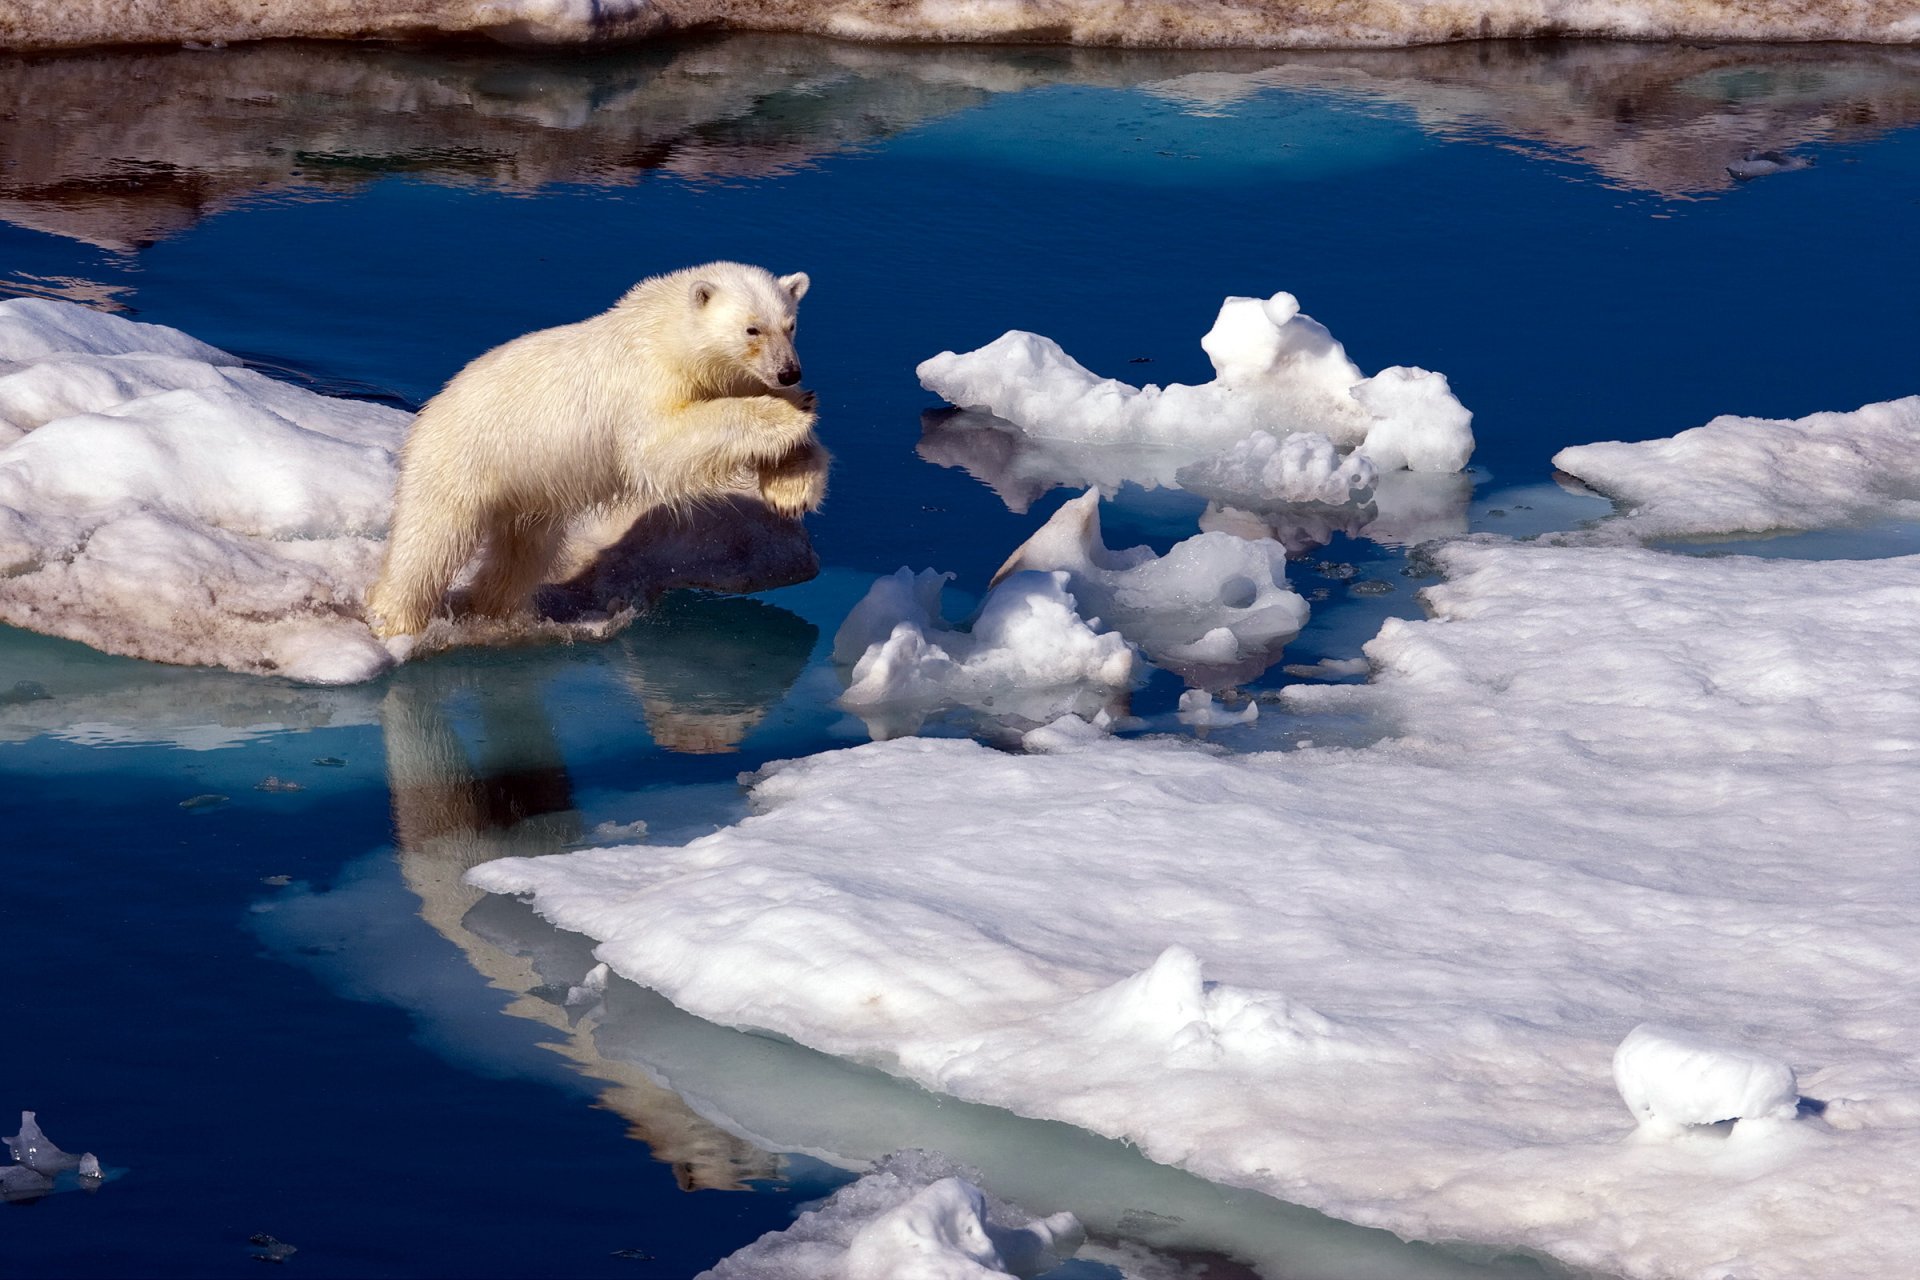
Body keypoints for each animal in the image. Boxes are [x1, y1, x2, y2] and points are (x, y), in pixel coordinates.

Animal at [366, 261, 827, 639]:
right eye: (752, 329)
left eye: (790, 325)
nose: (789, 372)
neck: (665, 332)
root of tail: (429, 412)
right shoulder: (646, 379)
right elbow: (660, 446)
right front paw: (790, 412)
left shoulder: (730, 376)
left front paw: (791, 490)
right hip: (461, 459)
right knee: (429, 541)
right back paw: (395, 620)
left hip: (528, 488)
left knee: (523, 550)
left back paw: (496, 610)